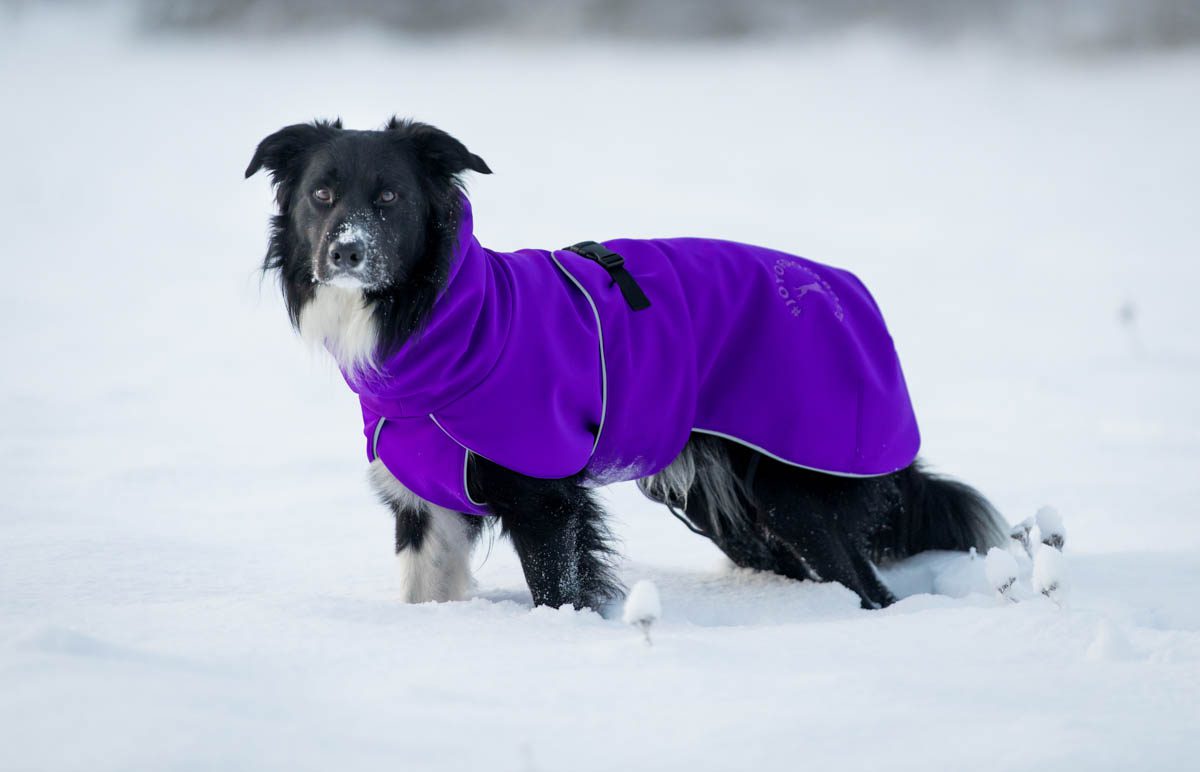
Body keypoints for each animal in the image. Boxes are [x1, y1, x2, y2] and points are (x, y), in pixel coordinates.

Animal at [246, 117, 1007, 611]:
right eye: (321, 195)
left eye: (390, 198)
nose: (345, 251)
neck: (447, 322)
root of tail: (844, 289)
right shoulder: (425, 505)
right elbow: (422, 591)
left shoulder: (544, 496)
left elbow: (558, 590)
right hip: (727, 503)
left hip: (792, 486)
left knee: (868, 587)